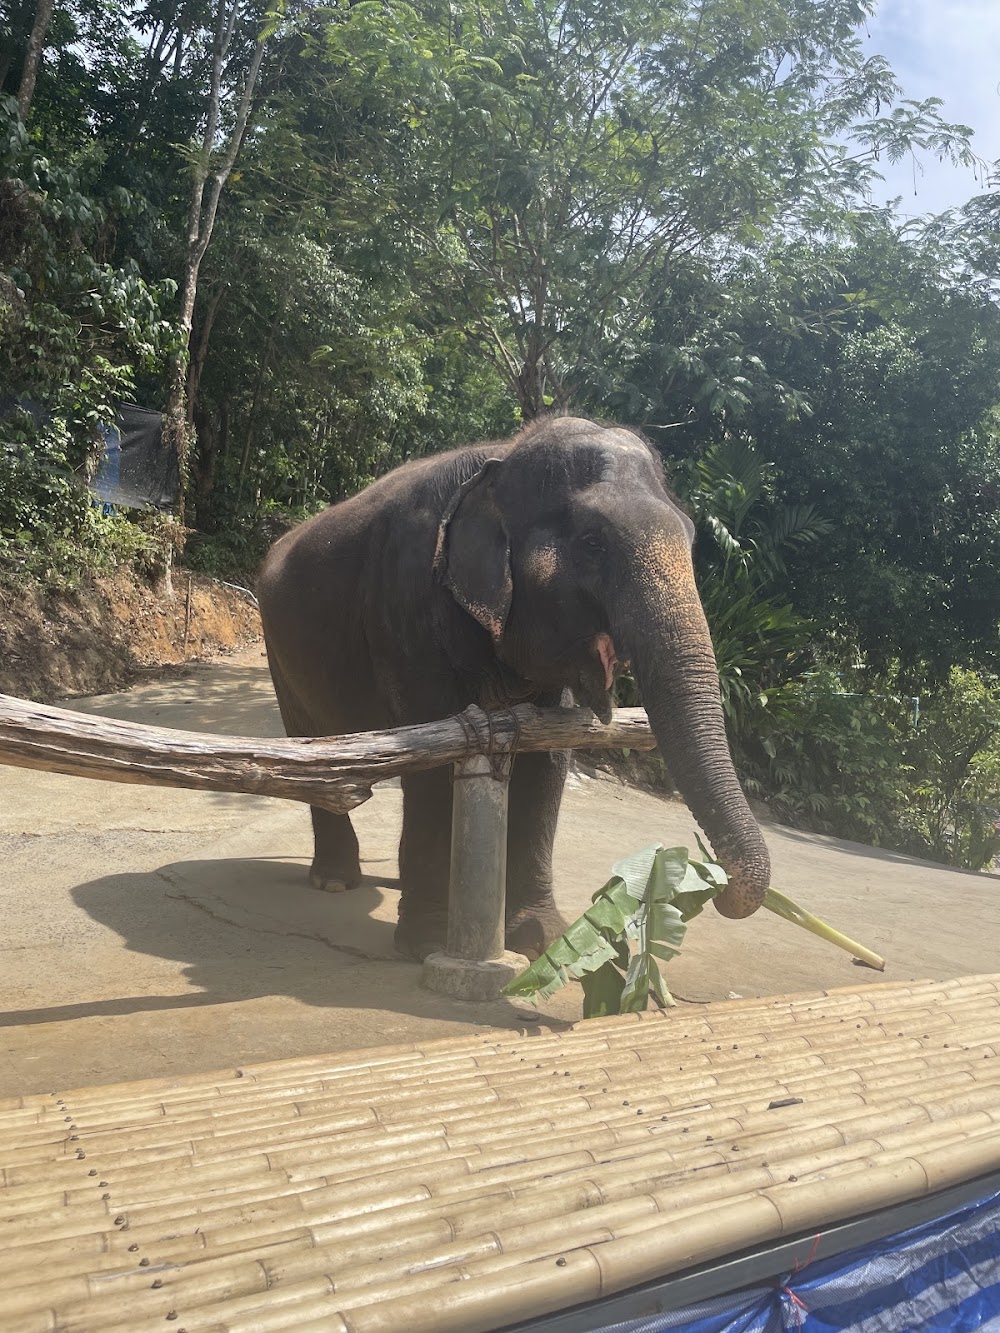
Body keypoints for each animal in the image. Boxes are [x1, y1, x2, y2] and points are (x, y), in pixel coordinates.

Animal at [254, 413, 773, 959]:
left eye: (691, 535)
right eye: (592, 543)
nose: (715, 886)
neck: (501, 457)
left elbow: (548, 760)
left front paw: (544, 940)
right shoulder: (404, 604)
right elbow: (432, 752)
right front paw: (426, 942)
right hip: (279, 648)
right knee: (311, 746)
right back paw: (335, 881)